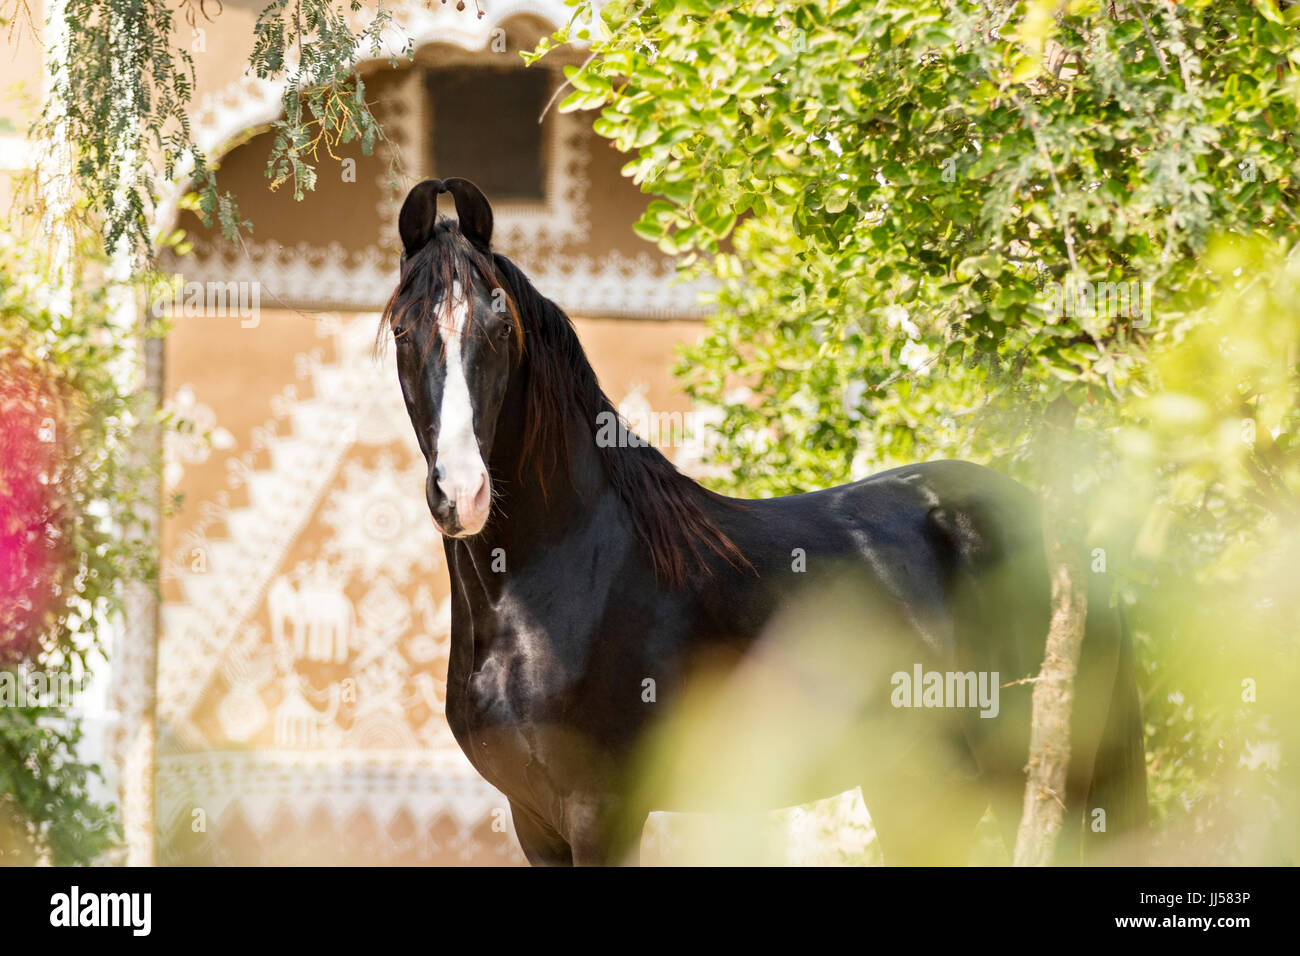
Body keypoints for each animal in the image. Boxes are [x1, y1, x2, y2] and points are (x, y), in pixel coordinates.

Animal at [379, 178, 1144, 868]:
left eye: (500, 327)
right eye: (404, 330)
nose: (462, 492)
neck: (559, 581)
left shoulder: (602, 812)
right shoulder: (533, 817)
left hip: (1038, 780)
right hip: (915, 784)